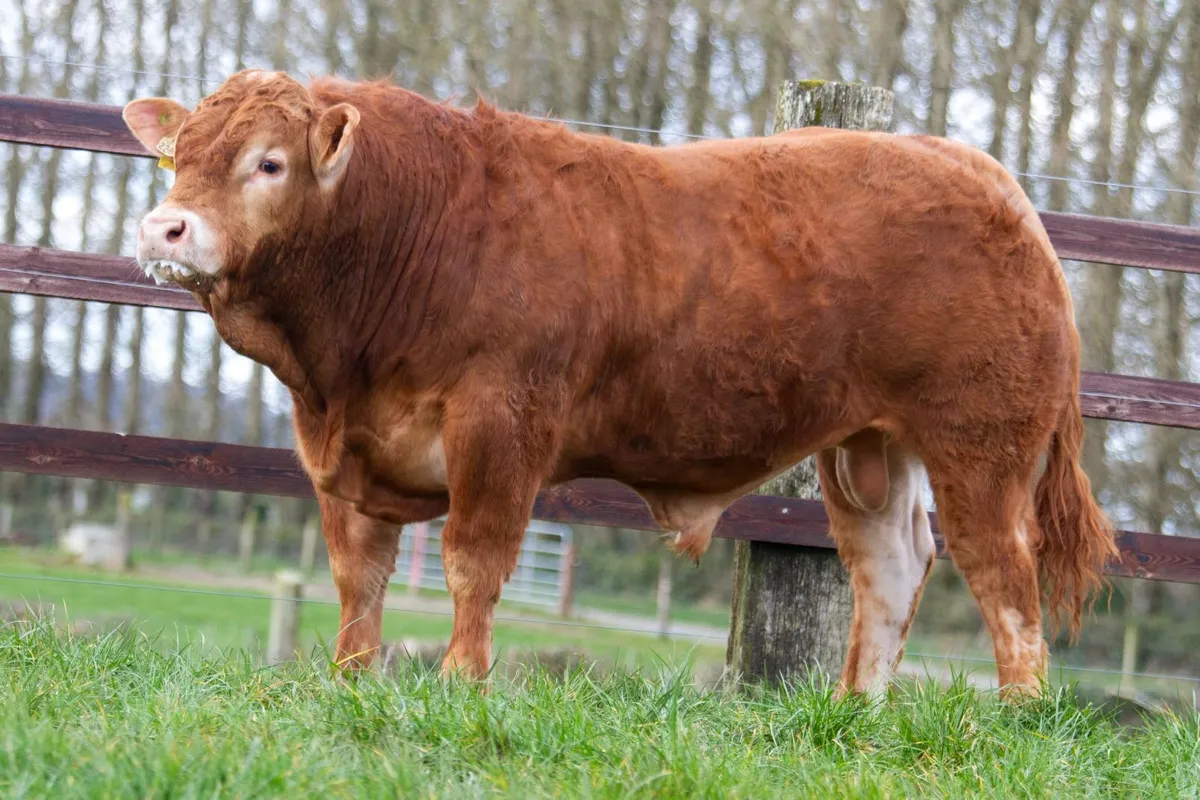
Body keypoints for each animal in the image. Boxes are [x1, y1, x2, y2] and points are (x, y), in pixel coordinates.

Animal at [123, 69, 1115, 697]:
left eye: (269, 161)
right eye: (178, 157)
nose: (164, 228)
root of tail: (984, 174)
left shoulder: (500, 423)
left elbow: (473, 560)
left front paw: (459, 681)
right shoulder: (342, 450)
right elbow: (356, 574)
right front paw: (351, 679)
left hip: (981, 440)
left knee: (1004, 575)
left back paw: (1015, 713)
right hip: (869, 446)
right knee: (892, 564)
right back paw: (853, 712)